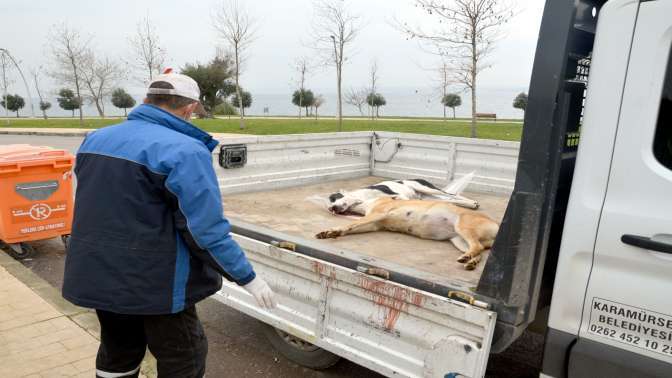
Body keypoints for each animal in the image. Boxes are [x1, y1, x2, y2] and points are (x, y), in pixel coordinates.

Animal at [316, 196, 498, 270]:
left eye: (337, 199)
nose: (331, 208)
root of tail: (496, 224)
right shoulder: (375, 224)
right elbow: (353, 227)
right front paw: (333, 233)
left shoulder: (378, 214)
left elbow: (351, 224)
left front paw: (333, 230)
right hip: (458, 240)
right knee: (480, 250)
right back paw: (471, 262)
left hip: (463, 227)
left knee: (477, 247)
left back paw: (468, 259)